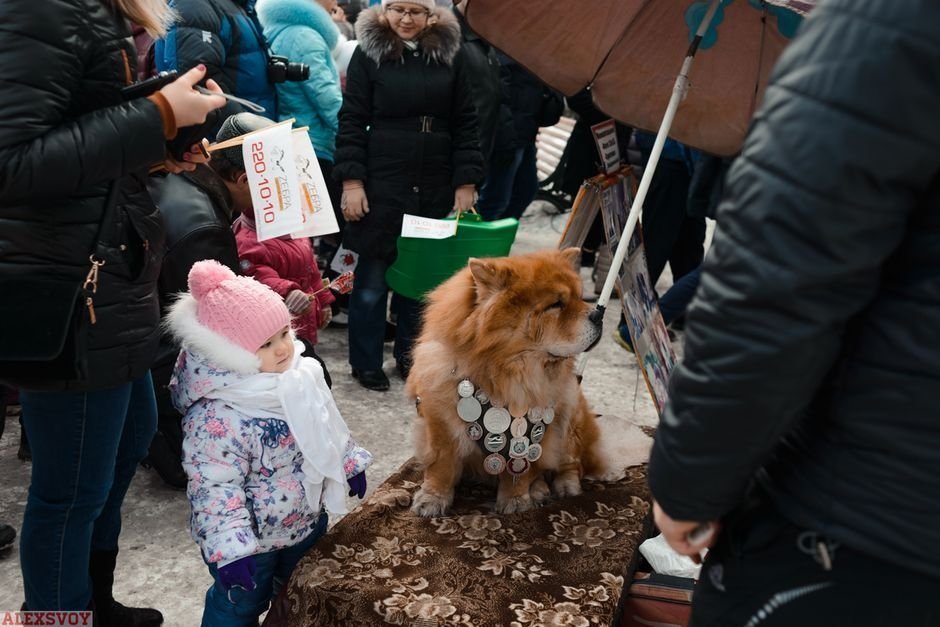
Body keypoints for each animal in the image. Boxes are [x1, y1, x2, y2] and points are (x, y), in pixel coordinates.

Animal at [408, 248, 604, 516]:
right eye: (556, 304)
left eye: (580, 297)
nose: (599, 313)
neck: (505, 375)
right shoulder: (440, 423)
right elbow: (441, 466)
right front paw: (431, 499)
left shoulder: (533, 434)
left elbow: (521, 469)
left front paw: (516, 500)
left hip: (571, 416)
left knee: (570, 464)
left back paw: (561, 487)